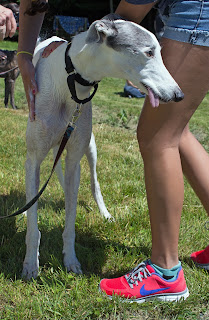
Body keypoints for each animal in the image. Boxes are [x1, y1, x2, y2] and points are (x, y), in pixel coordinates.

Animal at [22, 16, 184, 278]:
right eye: (149, 52)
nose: (179, 95)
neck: (69, 82)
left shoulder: (75, 157)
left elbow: (70, 220)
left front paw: (71, 260)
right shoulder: (33, 158)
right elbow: (33, 225)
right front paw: (30, 264)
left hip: (90, 147)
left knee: (91, 182)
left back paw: (104, 213)